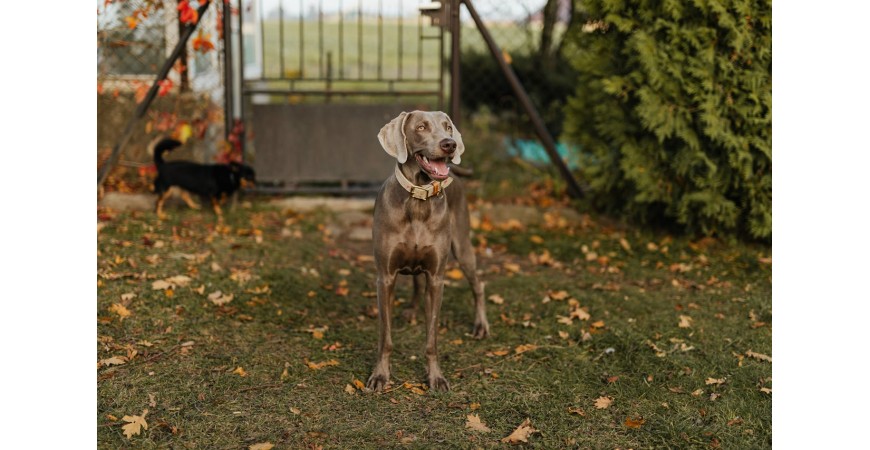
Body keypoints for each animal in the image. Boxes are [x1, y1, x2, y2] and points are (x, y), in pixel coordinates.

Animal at [366, 109, 490, 390]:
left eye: (448, 126)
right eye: (421, 127)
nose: (450, 144)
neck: (417, 201)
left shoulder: (436, 278)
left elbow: (432, 339)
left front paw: (435, 377)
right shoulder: (384, 278)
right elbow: (385, 338)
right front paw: (380, 375)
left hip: (462, 245)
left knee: (478, 283)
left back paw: (481, 326)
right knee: (415, 281)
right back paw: (412, 310)